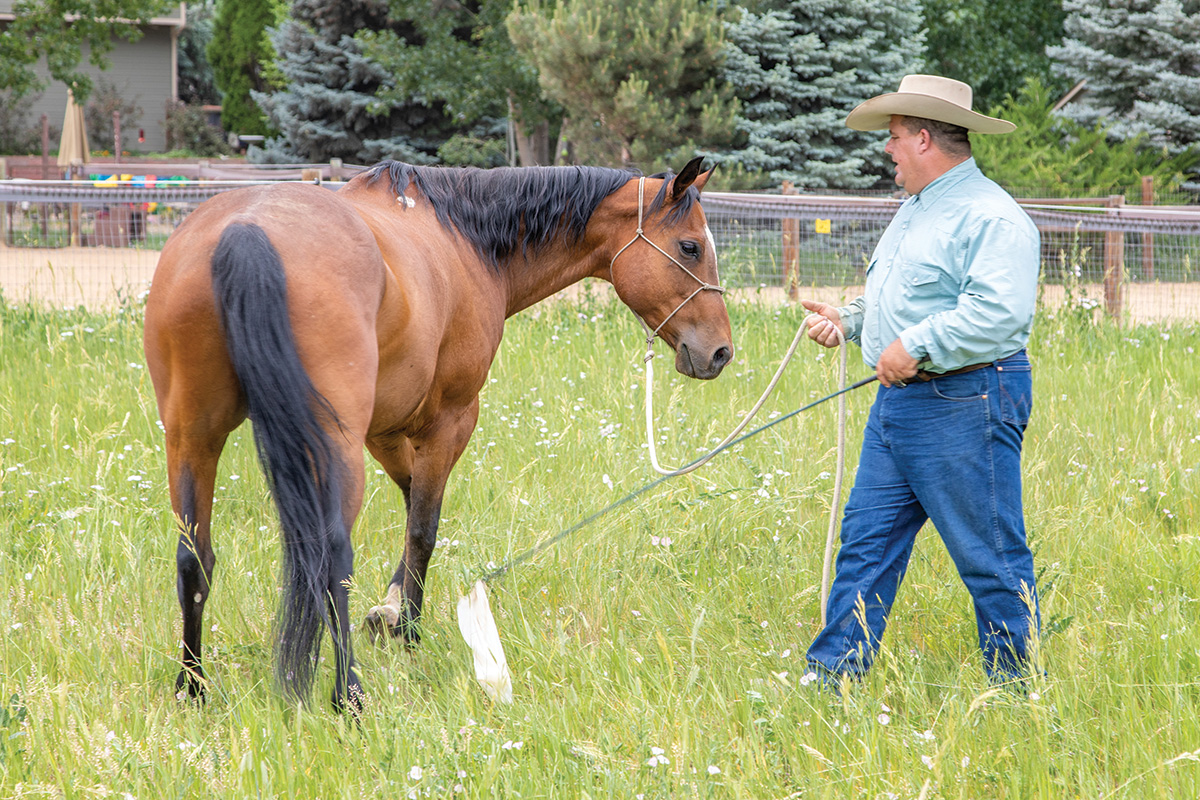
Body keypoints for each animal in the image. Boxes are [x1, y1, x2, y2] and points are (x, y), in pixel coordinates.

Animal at [146, 158, 734, 714]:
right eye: (689, 246)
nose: (720, 352)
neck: (465, 241)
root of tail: (246, 230)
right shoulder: (448, 422)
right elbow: (424, 528)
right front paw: (407, 630)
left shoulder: (387, 430)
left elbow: (412, 510)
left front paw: (388, 609)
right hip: (330, 448)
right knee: (331, 559)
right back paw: (349, 696)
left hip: (193, 439)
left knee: (194, 559)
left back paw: (192, 687)